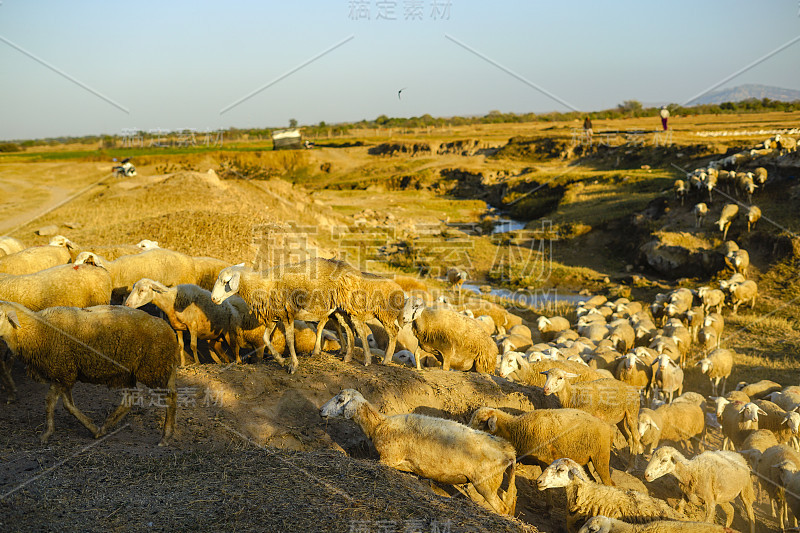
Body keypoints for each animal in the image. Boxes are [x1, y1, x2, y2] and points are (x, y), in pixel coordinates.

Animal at [0, 300, 178, 444]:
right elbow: (68, 405)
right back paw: (105, 427)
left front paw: (46, 434)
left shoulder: (62, 371)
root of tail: (169, 330)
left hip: (153, 368)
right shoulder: (64, 374)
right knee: (130, 399)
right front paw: (93, 428)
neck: (38, 330)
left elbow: (50, 402)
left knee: (170, 397)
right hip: (131, 373)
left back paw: (165, 437)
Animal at [320, 386, 516, 516]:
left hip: (486, 484)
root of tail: (508, 450)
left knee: (503, 509)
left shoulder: (387, 458)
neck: (380, 425)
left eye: (340, 400)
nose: (321, 410)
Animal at [468, 408, 612, 486]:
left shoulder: (546, 461)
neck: (515, 430)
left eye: (482, 422)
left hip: (601, 459)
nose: (467, 430)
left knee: (609, 482)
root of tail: (607, 426)